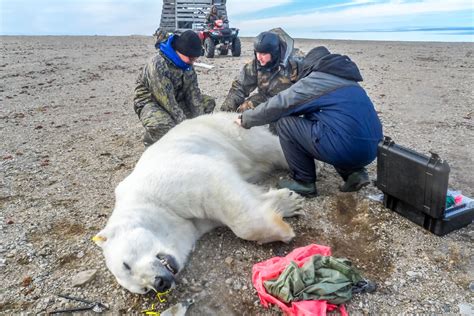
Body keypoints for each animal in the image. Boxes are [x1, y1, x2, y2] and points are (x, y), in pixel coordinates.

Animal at [95, 111, 304, 294]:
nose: (159, 283)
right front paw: (288, 201)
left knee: (267, 147)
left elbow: (215, 186)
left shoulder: (167, 181)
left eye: (126, 265)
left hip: (231, 134)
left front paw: (283, 231)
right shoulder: (196, 223)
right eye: (144, 290)